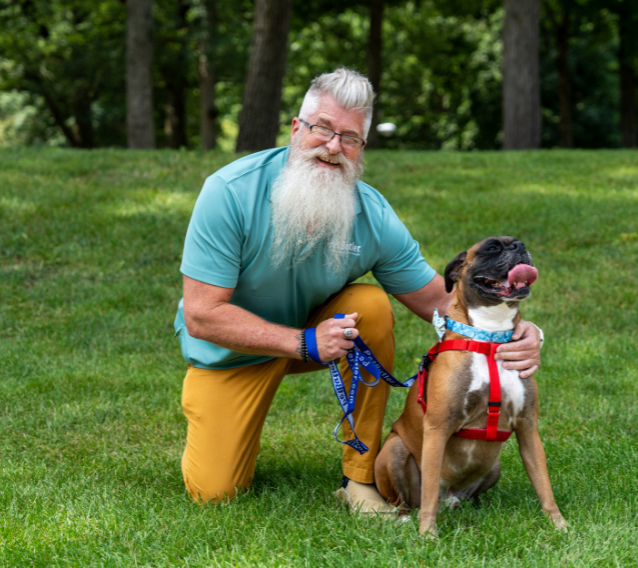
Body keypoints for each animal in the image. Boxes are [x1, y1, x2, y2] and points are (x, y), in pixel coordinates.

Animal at [378, 236, 568, 536]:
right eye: (492, 248)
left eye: (517, 243)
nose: (518, 246)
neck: (490, 337)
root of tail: (449, 497)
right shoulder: (437, 428)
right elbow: (428, 492)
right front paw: (427, 534)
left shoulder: (528, 427)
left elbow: (543, 484)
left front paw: (559, 525)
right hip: (394, 449)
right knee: (408, 501)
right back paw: (406, 518)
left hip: (494, 465)